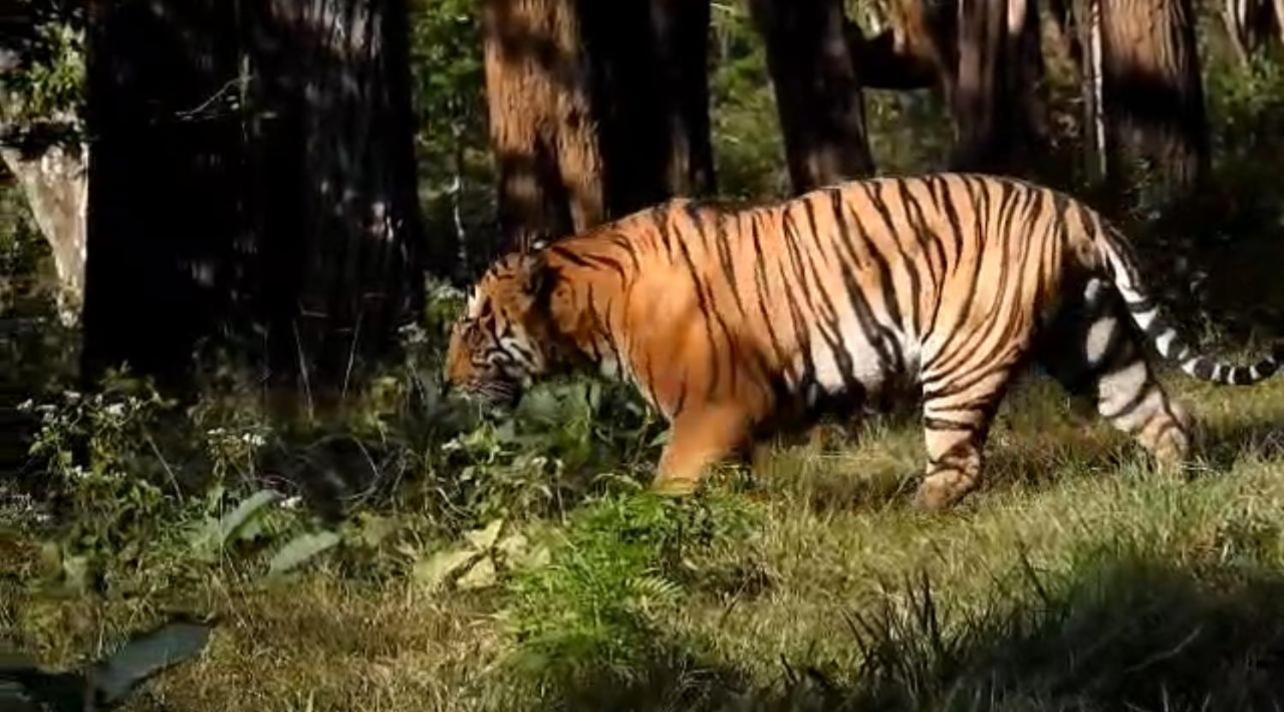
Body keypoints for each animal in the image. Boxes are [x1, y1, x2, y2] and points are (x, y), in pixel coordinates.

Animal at [444, 174, 1284, 510]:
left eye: (475, 326)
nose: (449, 380)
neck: (587, 305)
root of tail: (1075, 207)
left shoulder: (713, 406)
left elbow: (670, 482)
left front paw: (653, 533)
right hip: (1093, 342)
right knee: (1159, 416)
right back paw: (1176, 485)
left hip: (961, 357)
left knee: (959, 462)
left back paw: (912, 510)